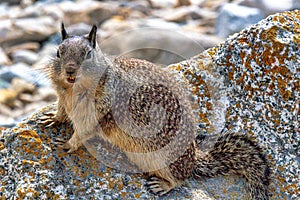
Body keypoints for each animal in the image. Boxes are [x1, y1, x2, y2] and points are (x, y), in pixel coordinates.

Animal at [40, 23, 272, 198]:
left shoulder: (94, 113)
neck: (72, 90)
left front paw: (66, 143)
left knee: (181, 179)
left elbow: (82, 133)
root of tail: (194, 159)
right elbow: (61, 111)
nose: (70, 70)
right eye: (58, 52)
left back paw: (162, 185)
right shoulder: (63, 99)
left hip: (162, 160)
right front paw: (51, 118)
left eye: (88, 54)